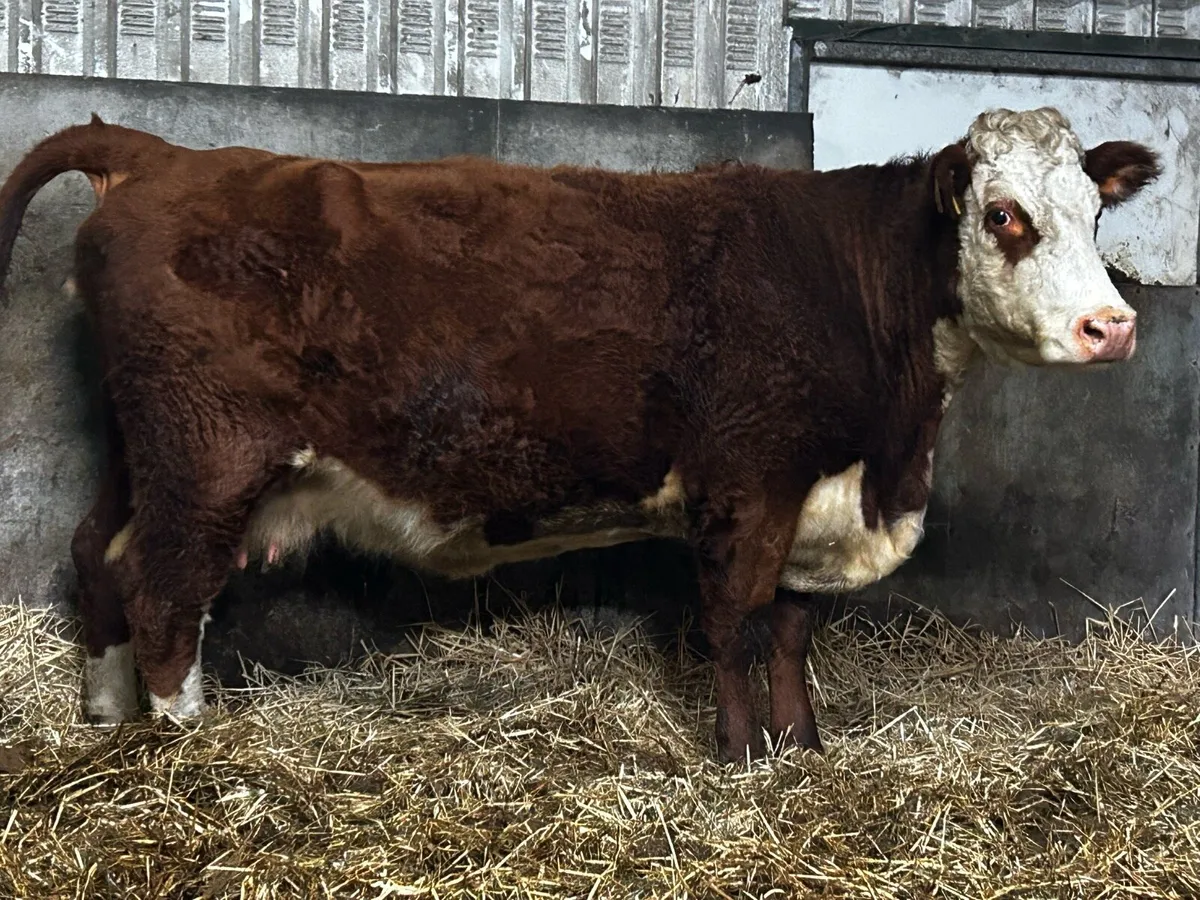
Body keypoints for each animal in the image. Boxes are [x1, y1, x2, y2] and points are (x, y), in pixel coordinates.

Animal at [0, 108, 1160, 762]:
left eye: (1096, 213)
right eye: (1004, 215)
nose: (1112, 326)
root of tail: (161, 156)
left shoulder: (809, 493)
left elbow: (789, 628)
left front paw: (805, 747)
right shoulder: (746, 479)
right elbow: (733, 622)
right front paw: (741, 755)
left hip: (144, 454)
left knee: (96, 555)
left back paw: (105, 715)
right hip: (209, 458)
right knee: (163, 590)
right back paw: (187, 746)